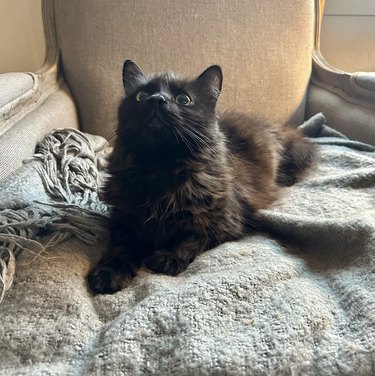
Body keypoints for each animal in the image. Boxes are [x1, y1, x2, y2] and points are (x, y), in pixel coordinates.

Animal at [86, 59, 316, 294]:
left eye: (183, 99)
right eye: (141, 96)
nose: (156, 99)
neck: (160, 167)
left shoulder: (224, 223)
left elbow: (192, 239)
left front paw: (168, 258)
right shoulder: (124, 220)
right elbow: (121, 248)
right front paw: (109, 273)